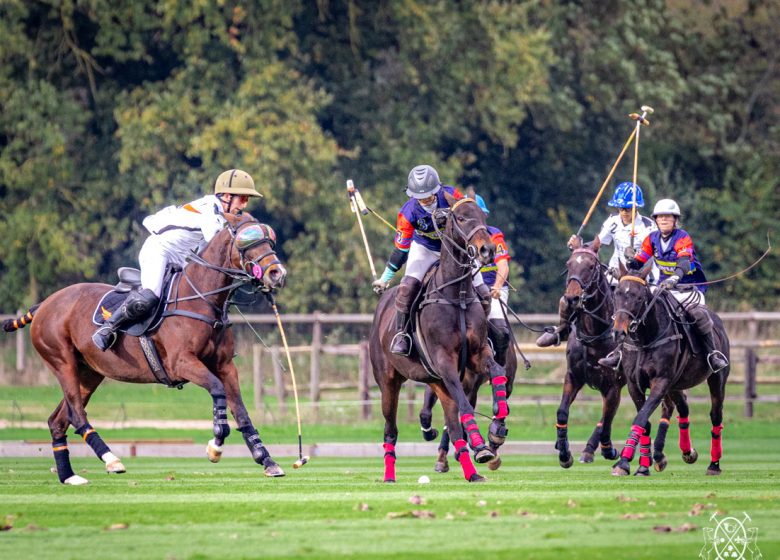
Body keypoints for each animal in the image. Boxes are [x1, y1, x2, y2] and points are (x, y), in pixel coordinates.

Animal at [1, 212, 288, 484]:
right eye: (247, 241)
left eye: (270, 239)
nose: (277, 274)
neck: (203, 299)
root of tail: (44, 304)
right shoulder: (182, 362)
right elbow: (218, 392)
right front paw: (215, 445)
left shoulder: (225, 365)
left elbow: (241, 411)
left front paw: (267, 460)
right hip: (63, 363)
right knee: (77, 414)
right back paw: (111, 459)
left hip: (89, 373)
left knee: (58, 420)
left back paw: (70, 477)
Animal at [368, 195, 508, 484]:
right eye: (462, 218)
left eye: (483, 218)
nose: (488, 250)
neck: (457, 294)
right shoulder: (445, 362)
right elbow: (465, 406)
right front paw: (482, 444)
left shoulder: (476, 354)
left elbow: (497, 372)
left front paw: (497, 427)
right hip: (388, 381)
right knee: (390, 429)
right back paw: (389, 475)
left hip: (438, 383)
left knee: (453, 428)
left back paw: (472, 473)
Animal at [608, 264, 732, 474]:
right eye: (616, 293)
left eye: (639, 297)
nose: (618, 332)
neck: (646, 339)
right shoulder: (634, 385)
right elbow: (645, 422)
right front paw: (642, 466)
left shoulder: (661, 382)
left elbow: (640, 418)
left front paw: (623, 462)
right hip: (676, 385)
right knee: (683, 408)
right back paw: (688, 452)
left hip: (717, 379)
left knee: (716, 416)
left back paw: (714, 465)